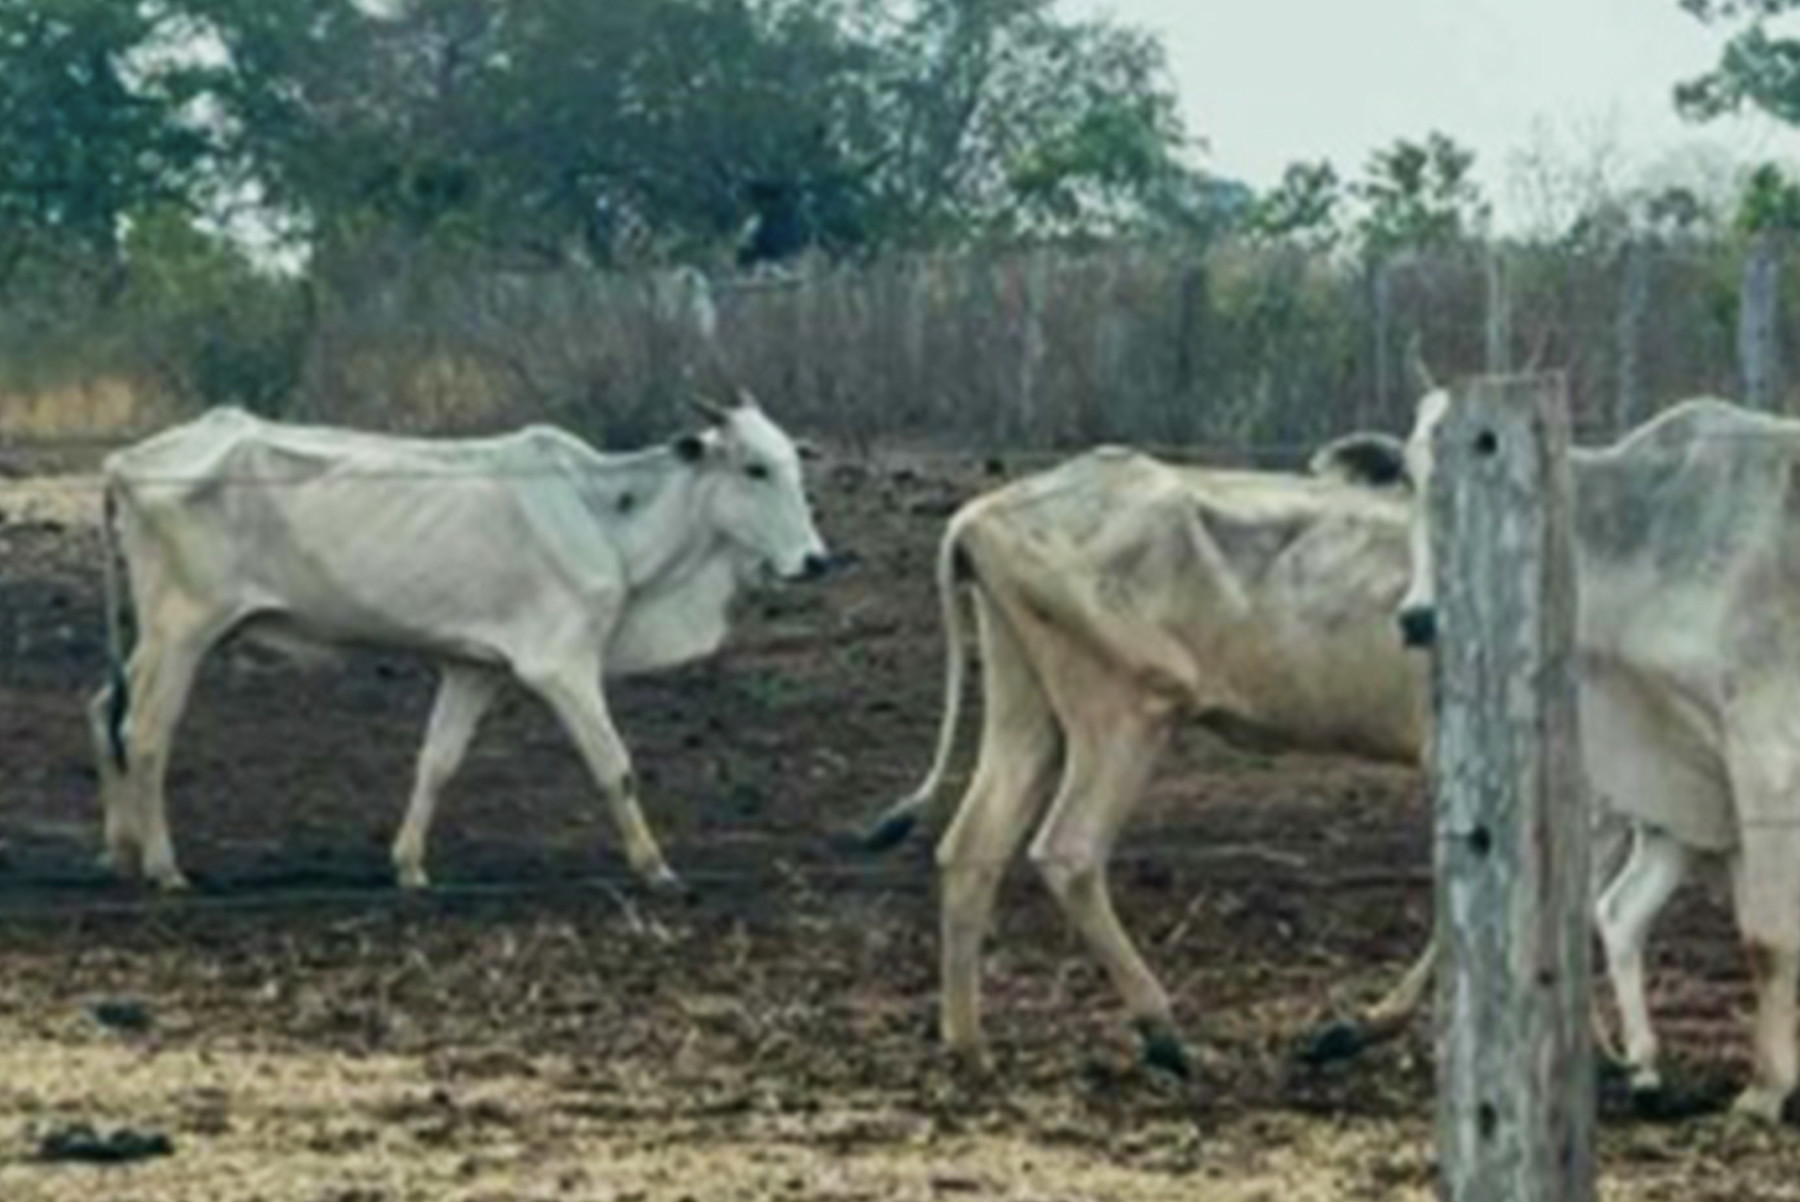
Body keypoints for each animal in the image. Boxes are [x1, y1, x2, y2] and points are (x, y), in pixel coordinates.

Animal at [91, 394, 828, 892]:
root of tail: (124, 461)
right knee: (146, 732)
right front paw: (656, 867)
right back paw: (164, 867)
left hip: (159, 636)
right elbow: (614, 765)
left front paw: (409, 865)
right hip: (183, 630)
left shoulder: (474, 667)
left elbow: (436, 763)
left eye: (795, 464)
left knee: (105, 712)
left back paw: (118, 851)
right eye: (755, 469)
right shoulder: (562, 668)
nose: (817, 560)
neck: (606, 516)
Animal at [1396, 394, 1800, 1130]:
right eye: (1408, 477)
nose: (1418, 618)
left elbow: (1768, 936)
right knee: (1621, 909)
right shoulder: (1707, 787)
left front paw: (1765, 1090)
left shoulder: (1768, 758)